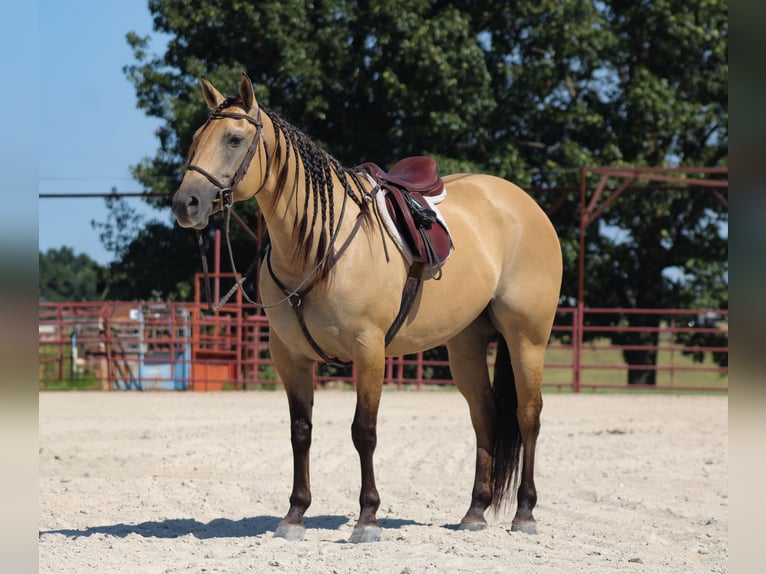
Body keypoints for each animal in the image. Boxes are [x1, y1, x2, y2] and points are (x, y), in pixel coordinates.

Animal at [172, 74, 562, 543]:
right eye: (196, 139)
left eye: (233, 138)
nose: (186, 204)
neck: (316, 247)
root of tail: (526, 205)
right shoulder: (290, 357)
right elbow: (300, 432)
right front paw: (295, 515)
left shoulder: (368, 348)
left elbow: (364, 431)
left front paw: (368, 518)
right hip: (465, 344)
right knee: (484, 413)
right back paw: (474, 512)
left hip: (527, 339)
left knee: (528, 415)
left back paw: (525, 512)